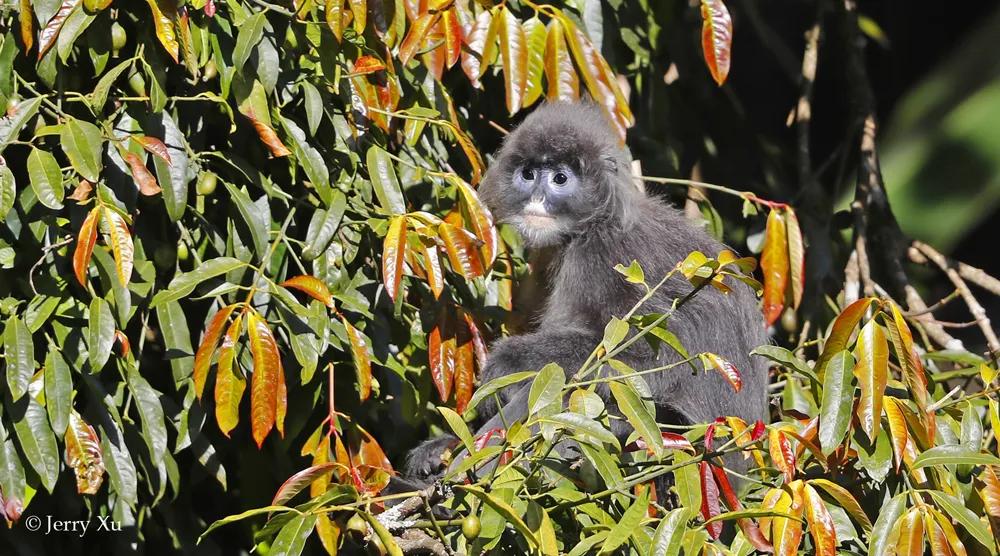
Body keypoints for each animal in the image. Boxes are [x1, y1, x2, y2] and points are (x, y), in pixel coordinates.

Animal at [402, 102, 768, 488]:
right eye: (529, 174)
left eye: (560, 179)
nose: (537, 199)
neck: (595, 222)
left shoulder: (605, 255)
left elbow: (649, 354)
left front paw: (506, 361)